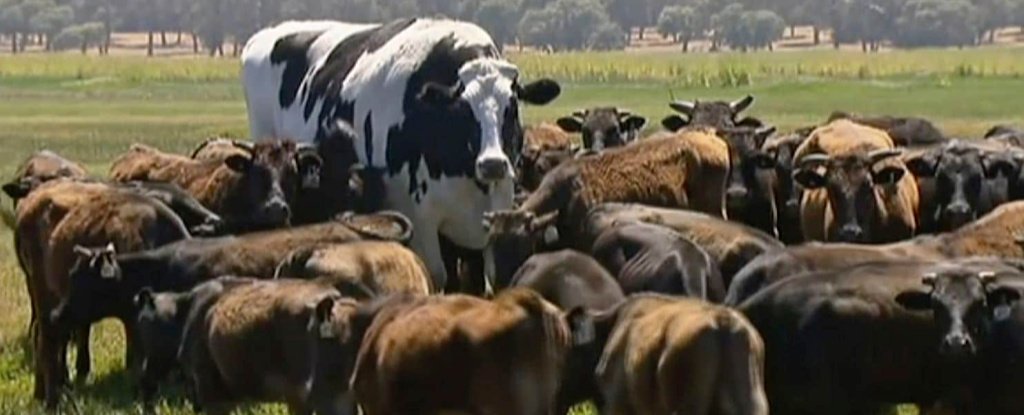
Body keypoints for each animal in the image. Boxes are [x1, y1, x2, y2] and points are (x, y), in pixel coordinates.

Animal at [14, 179, 190, 408]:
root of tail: (31, 201)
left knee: (44, 337)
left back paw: (44, 392)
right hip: (42, 294)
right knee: (47, 339)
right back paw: (51, 397)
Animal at [241, 18, 562, 291]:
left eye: (512, 106)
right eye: (462, 108)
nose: (492, 164)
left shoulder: (494, 212)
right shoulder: (419, 219)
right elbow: (437, 276)